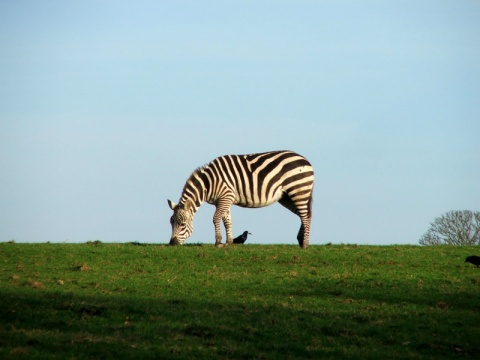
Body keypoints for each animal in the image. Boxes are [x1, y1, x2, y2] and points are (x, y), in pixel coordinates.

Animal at [169, 149, 316, 248]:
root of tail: (305, 160)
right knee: (305, 215)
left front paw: (218, 242)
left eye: (182, 224)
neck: (209, 183)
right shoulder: (224, 200)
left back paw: (305, 244)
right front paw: (229, 242)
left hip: (298, 190)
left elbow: (216, 218)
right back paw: (300, 240)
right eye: (171, 223)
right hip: (287, 197)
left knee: (305, 216)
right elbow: (227, 221)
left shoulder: (226, 197)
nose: (172, 243)